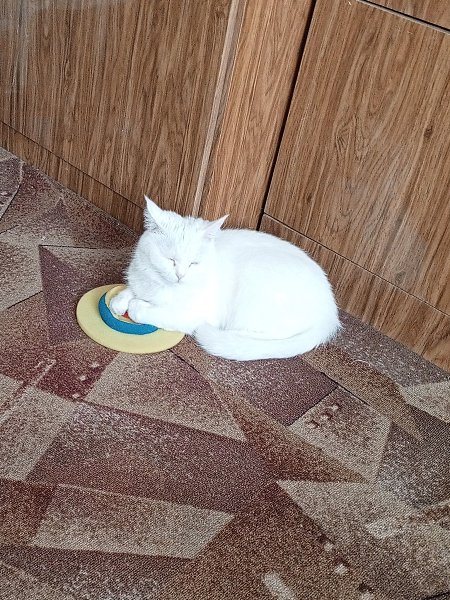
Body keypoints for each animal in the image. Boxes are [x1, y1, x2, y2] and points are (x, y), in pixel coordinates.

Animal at [109, 196, 341, 360]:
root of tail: (330, 313)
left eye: (194, 263)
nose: (180, 275)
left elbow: (147, 310)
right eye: (170, 260)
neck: (161, 286)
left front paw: (137, 305)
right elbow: (129, 291)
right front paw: (121, 300)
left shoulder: (192, 314)